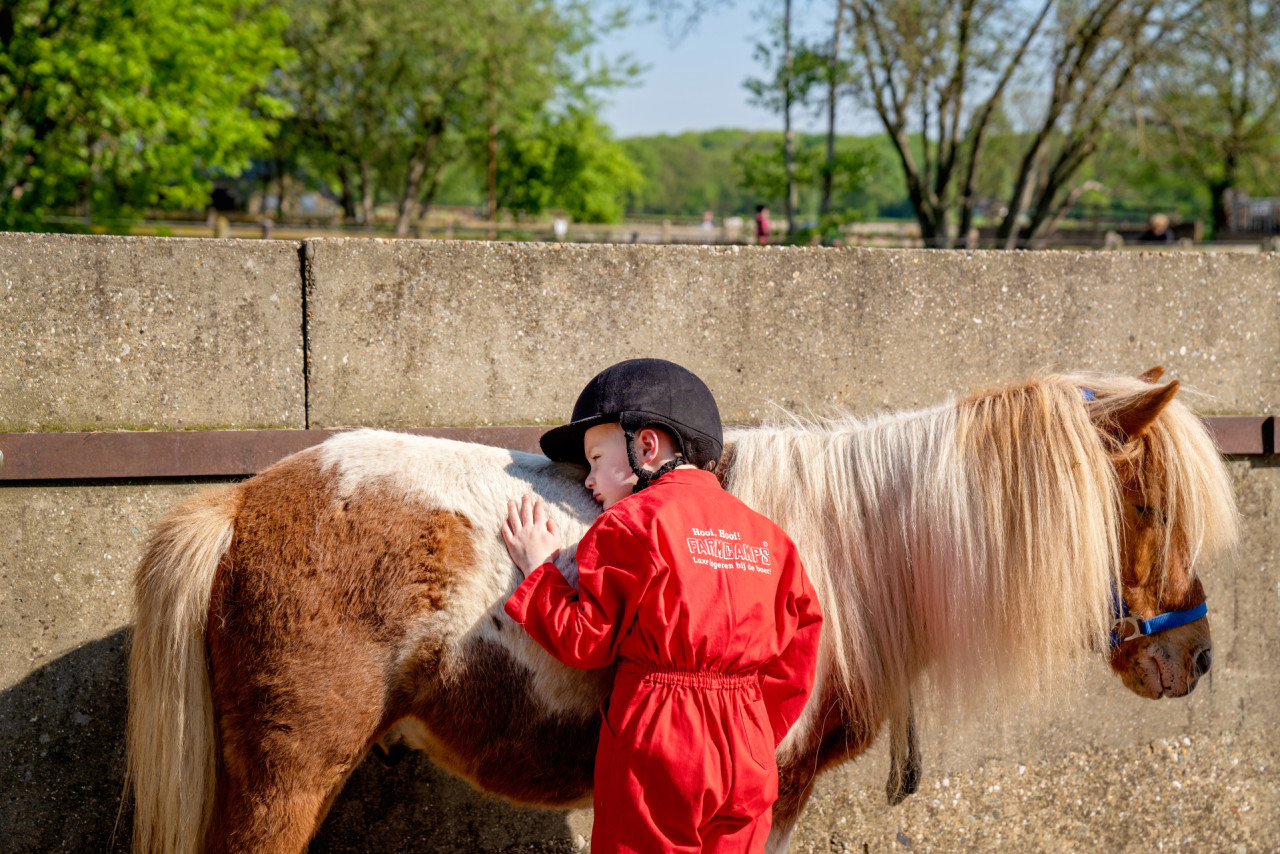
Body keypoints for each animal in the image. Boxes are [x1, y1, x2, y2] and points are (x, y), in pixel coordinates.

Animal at [129, 368, 1239, 854]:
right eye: (1150, 505)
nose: (1192, 660)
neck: (851, 551)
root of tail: (242, 503)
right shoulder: (774, 788)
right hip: (287, 777)